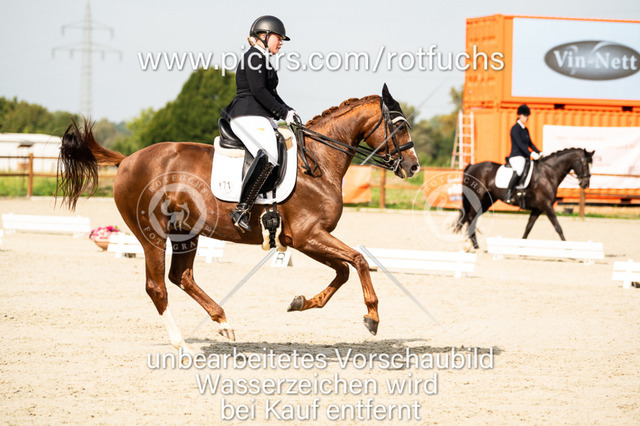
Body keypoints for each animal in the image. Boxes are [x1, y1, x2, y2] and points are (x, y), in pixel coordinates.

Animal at [55, 84, 420, 353]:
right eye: (399, 126)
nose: (414, 166)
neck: (317, 163)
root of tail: (128, 159)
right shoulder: (308, 235)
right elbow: (358, 260)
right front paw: (372, 316)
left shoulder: (303, 240)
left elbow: (343, 270)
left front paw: (300, 302)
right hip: (152, 235)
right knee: (157, 286)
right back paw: (181, 345)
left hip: (186, 233)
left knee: (181, 276)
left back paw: (223, 323)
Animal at [454, 148, 594, 249]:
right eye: (584, 163)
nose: (585, 184)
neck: (548, 174)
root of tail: (471, 166)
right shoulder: (547, 206)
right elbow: (558, 227)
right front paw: (568, 247)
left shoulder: (538, 209)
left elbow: (528, 227)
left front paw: (521, 246)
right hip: (477, 198)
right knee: (471, 217)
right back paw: (475, 246)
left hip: (487, 201)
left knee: (472, 218)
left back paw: (471, 245)